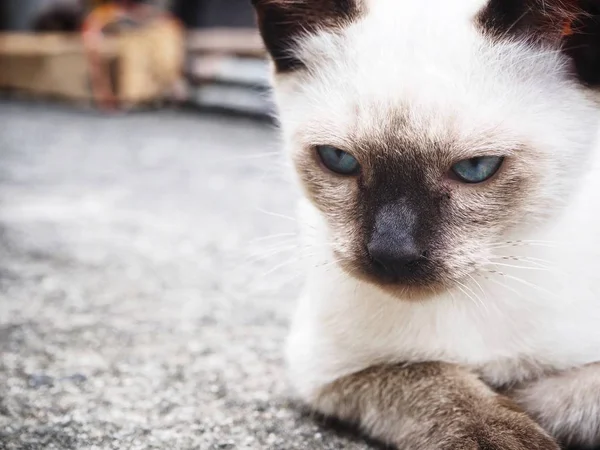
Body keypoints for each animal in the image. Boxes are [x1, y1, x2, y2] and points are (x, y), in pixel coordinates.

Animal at [251, 0, 600, 448]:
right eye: (338, 160)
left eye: (476, 167)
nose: (391, 253)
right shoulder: (328, 370)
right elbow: (437, 379)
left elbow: (571, 391)